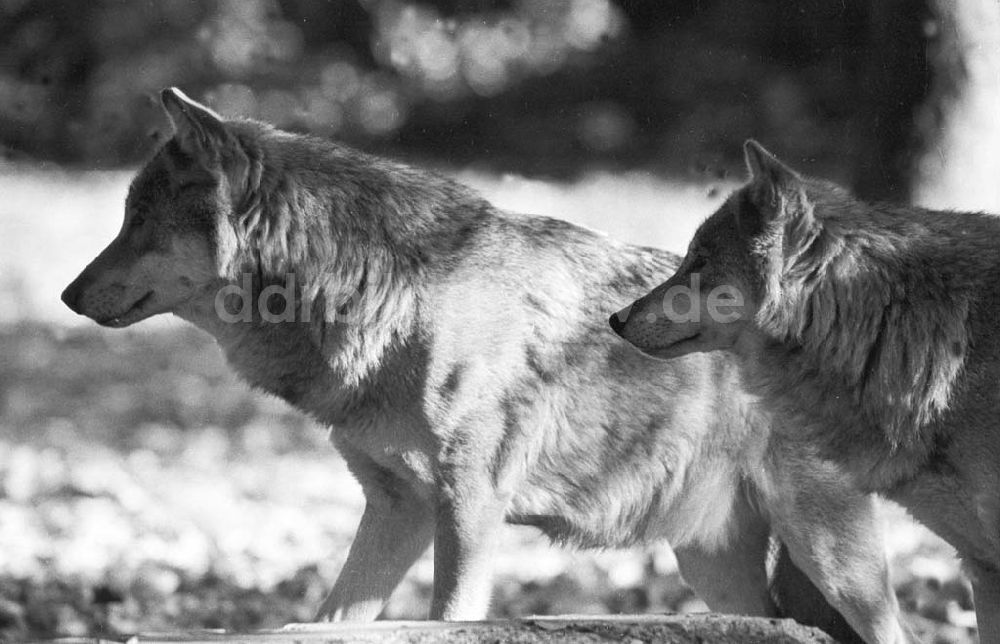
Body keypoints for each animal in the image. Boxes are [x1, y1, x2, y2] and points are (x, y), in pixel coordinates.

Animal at [64, 89, 908, 640]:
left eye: (137, 220)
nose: (68, 294)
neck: (389, 298)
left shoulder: (470, 504)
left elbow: (451, 616)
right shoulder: (396, 508)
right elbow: (337, 615)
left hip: (832, 557)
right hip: (714, 563)